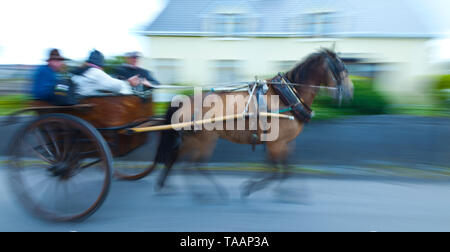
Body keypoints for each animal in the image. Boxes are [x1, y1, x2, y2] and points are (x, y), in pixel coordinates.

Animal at [153, 48, 354, 195]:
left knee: (177, 159)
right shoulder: (276, 143)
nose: (350, 91)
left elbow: (285, 169)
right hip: (206, 139)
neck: (288, 96)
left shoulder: (282, 143)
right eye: (341, 68)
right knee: (195, 164)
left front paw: (288, 192)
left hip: (192, 138)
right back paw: (211, 194)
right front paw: (251, 187)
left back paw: (165, 184)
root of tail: (184, 101)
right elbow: (276, 171)